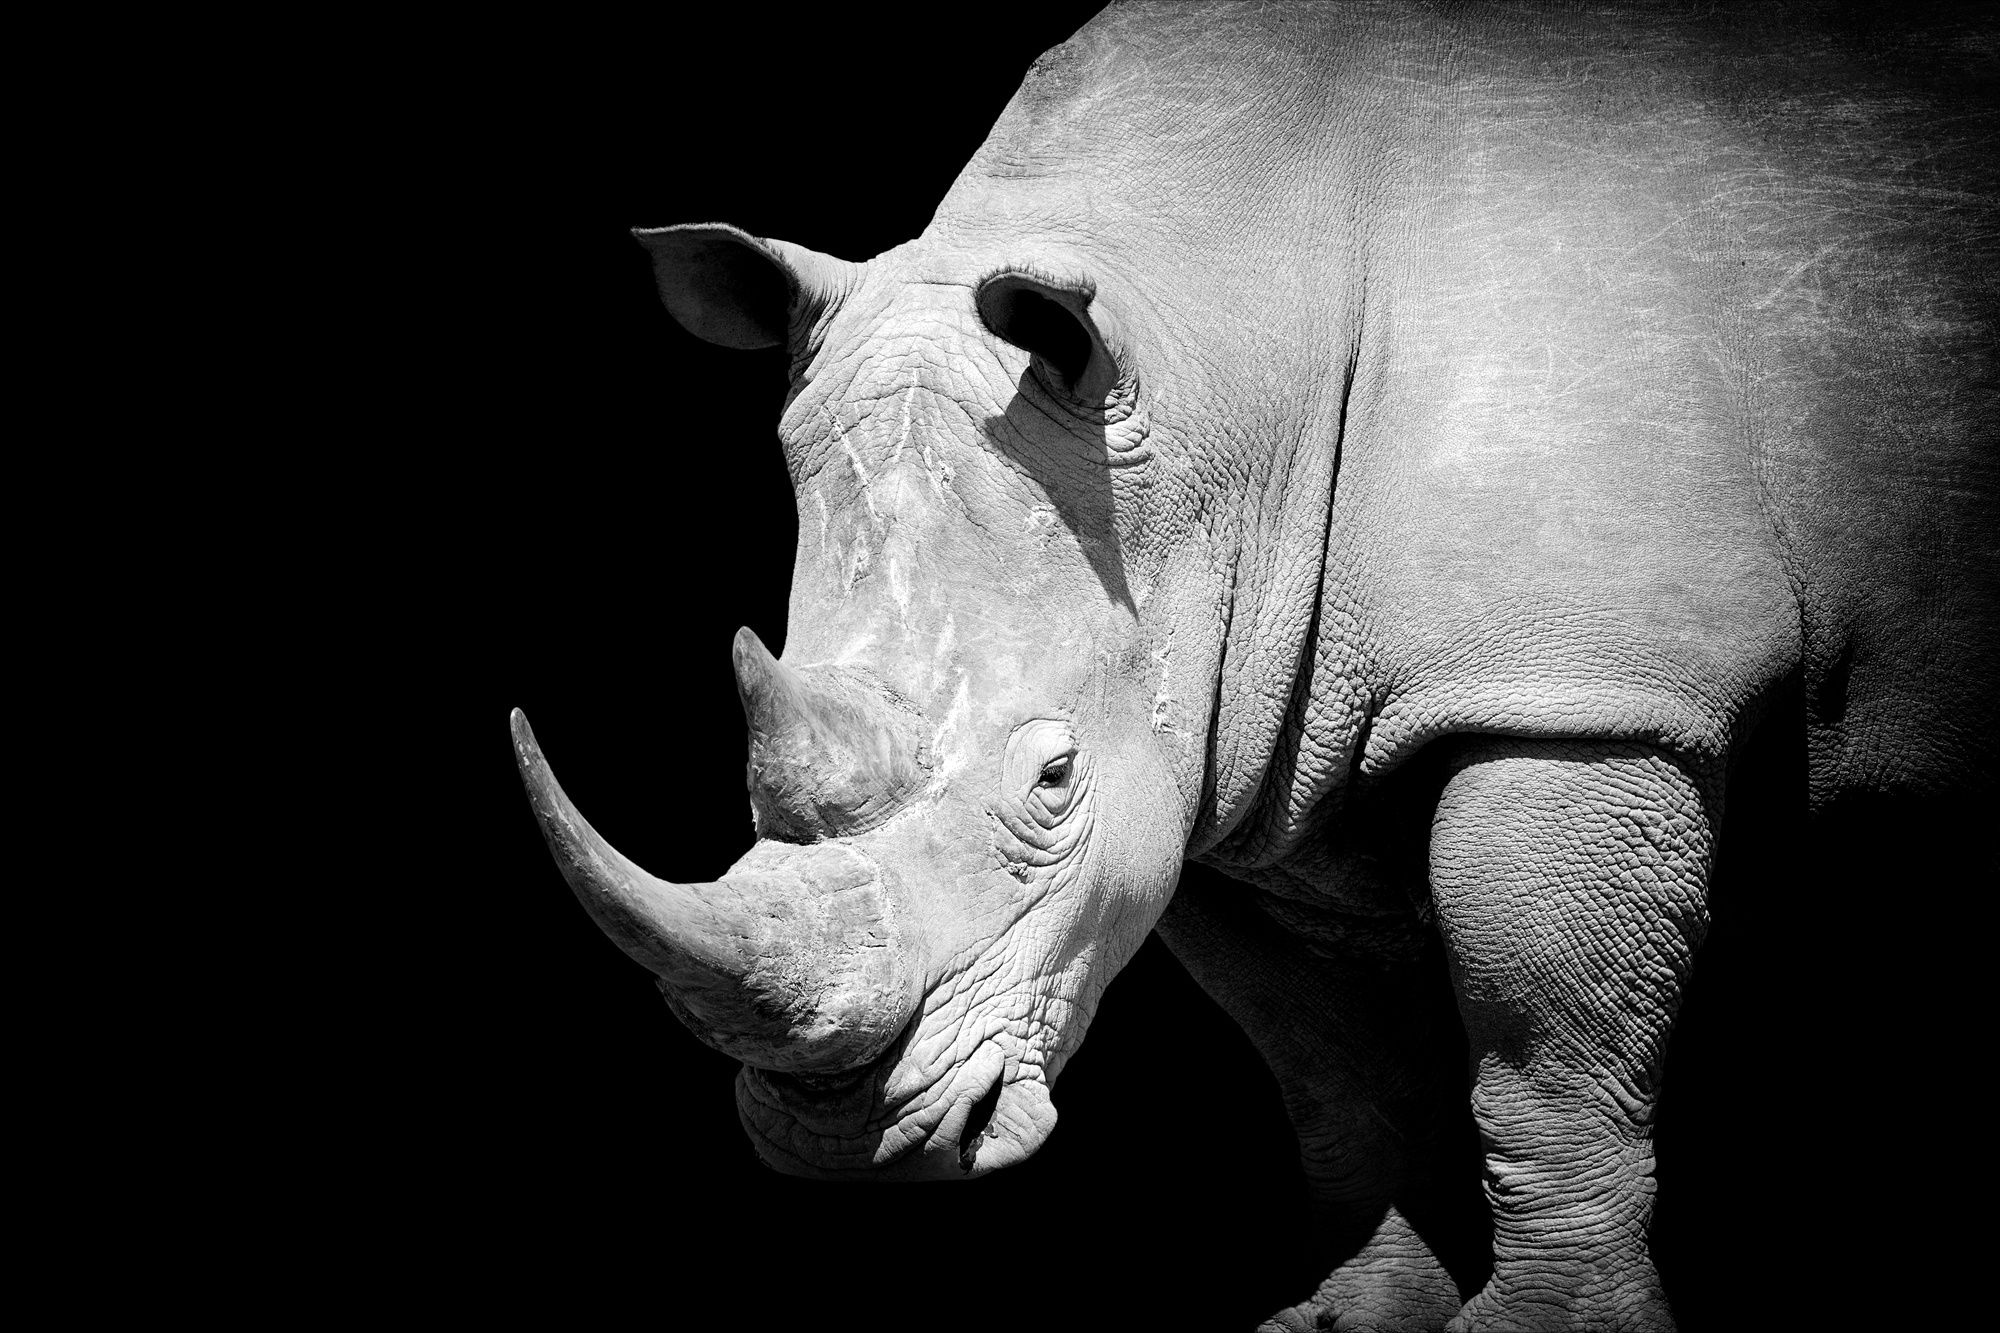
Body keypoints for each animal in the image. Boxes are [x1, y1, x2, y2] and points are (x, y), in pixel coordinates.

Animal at [511, 2, 1997, 1328]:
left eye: (1053, 782)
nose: (838, 1142)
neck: (1210, 356)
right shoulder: (1227, 747)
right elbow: (1326, 1061)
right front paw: (1343, 1320)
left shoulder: (1582, 695)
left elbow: (1551, 1044)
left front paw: (1551, 1326)